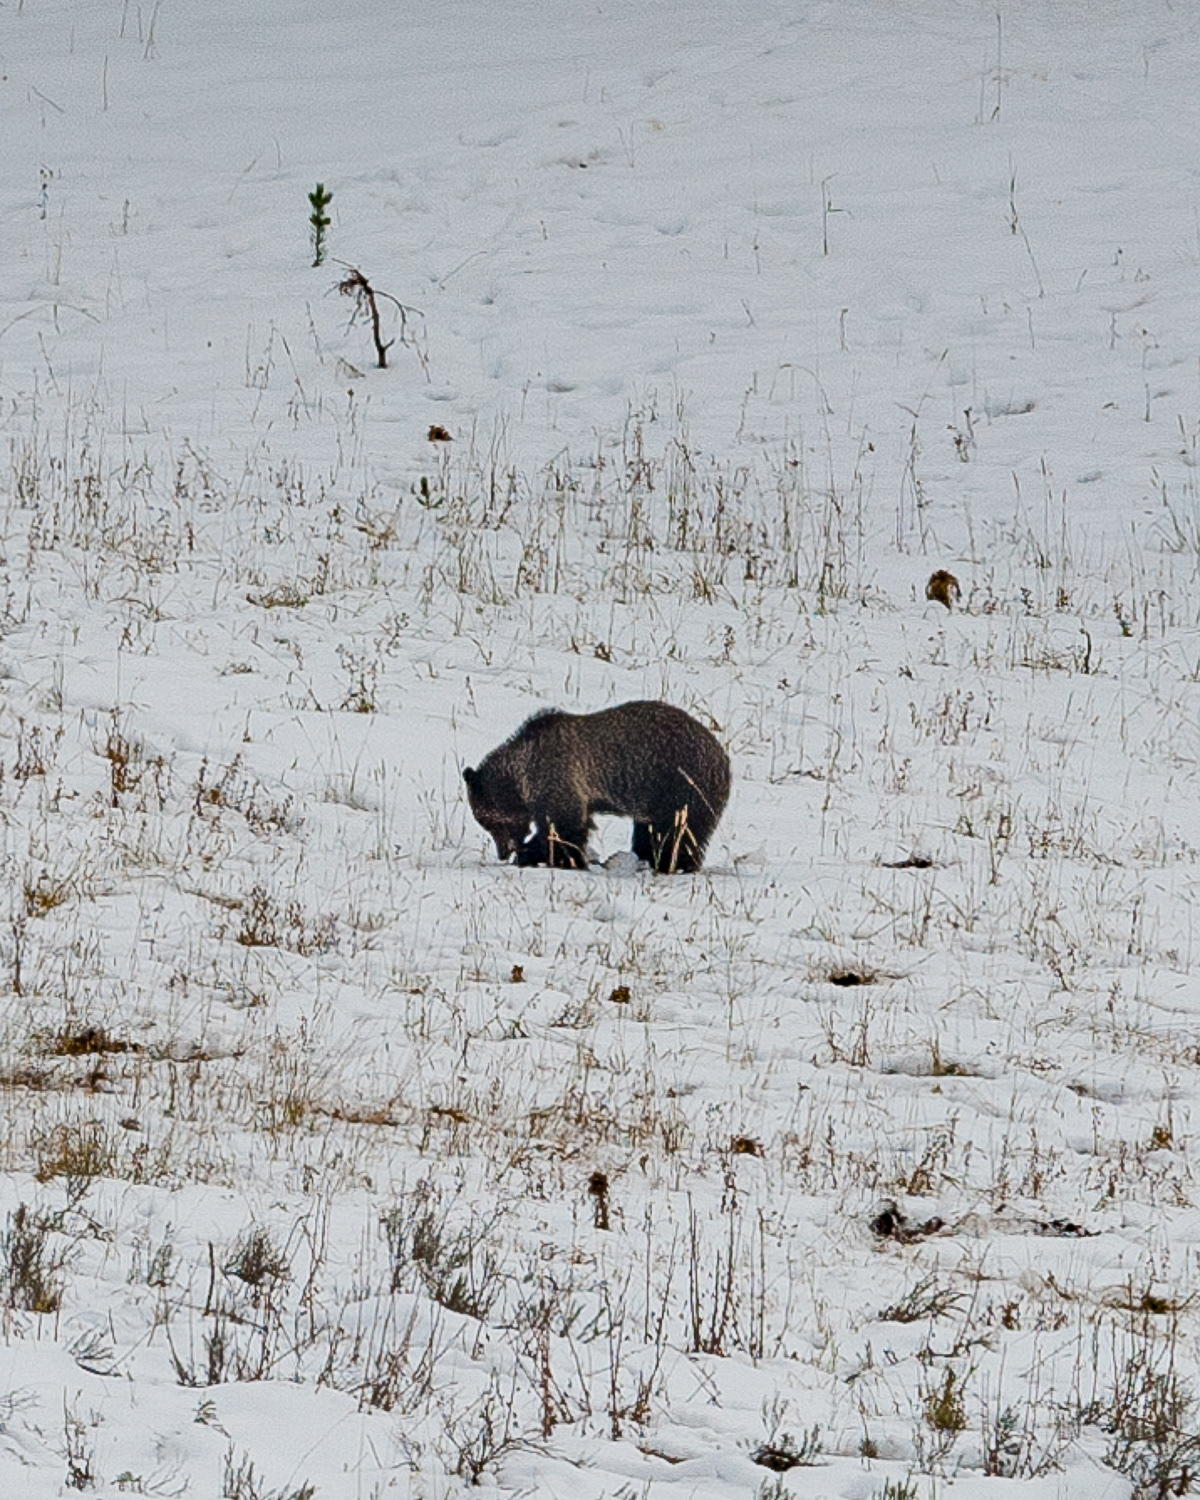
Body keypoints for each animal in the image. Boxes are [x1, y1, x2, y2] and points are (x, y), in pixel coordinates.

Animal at [462, 701, 730, 873]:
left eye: (489, 822)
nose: (503, 852)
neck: (522, 775)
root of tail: (722, 757)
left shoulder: (557, 776)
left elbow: (562, 828)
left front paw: (538, 855)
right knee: (650, 832)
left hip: (679, 784)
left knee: (675, 832)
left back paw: (670, 864)